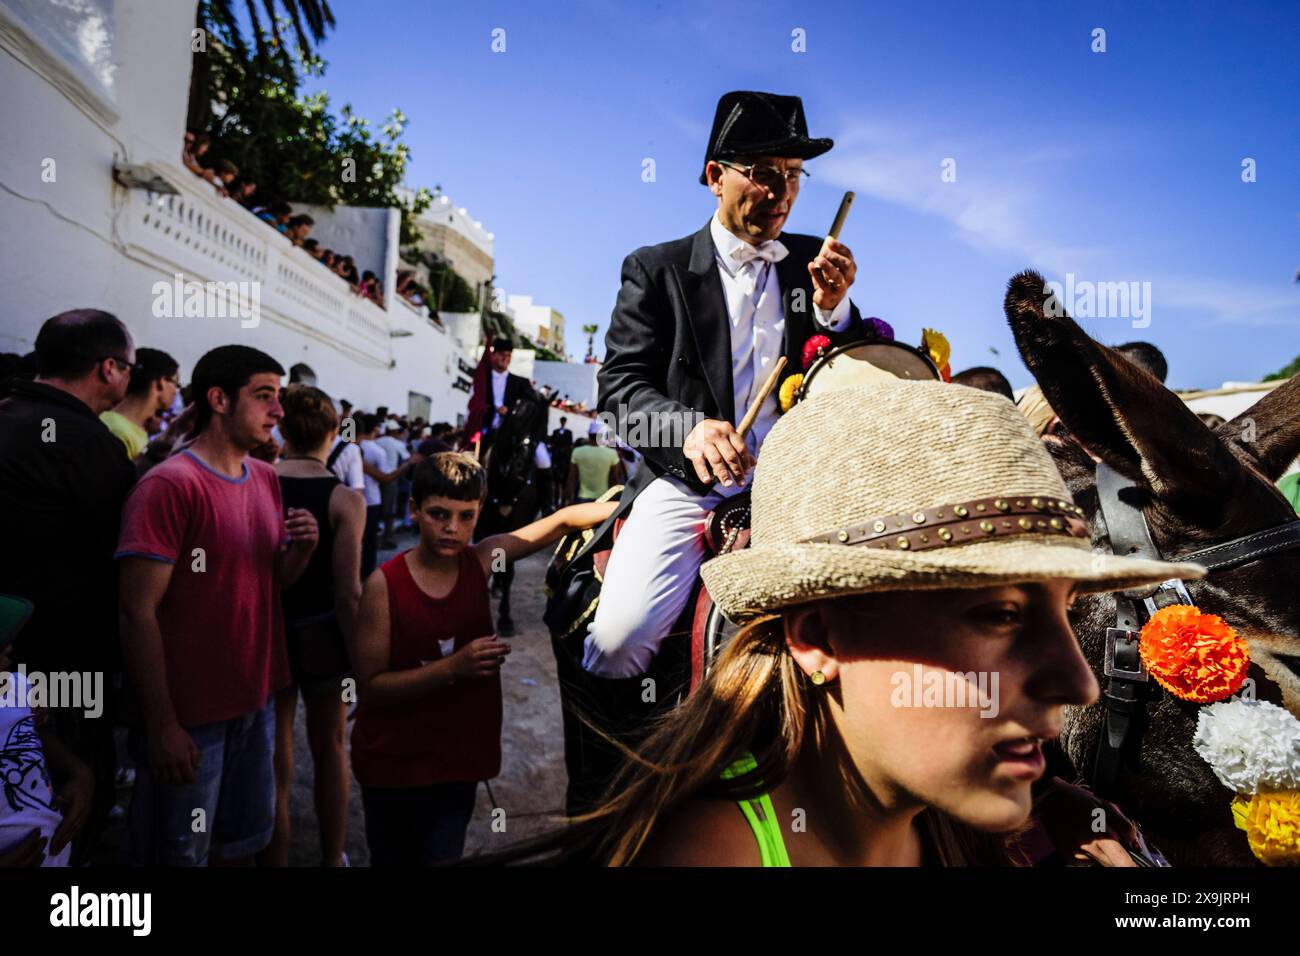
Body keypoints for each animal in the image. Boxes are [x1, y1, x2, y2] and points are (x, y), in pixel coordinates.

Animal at [473, 392, 548, 639]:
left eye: (543, 424)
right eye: (515, 417)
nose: (521, 466)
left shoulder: (518, 527)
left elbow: (509, 571)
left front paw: (505, 618)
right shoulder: (481, 528)